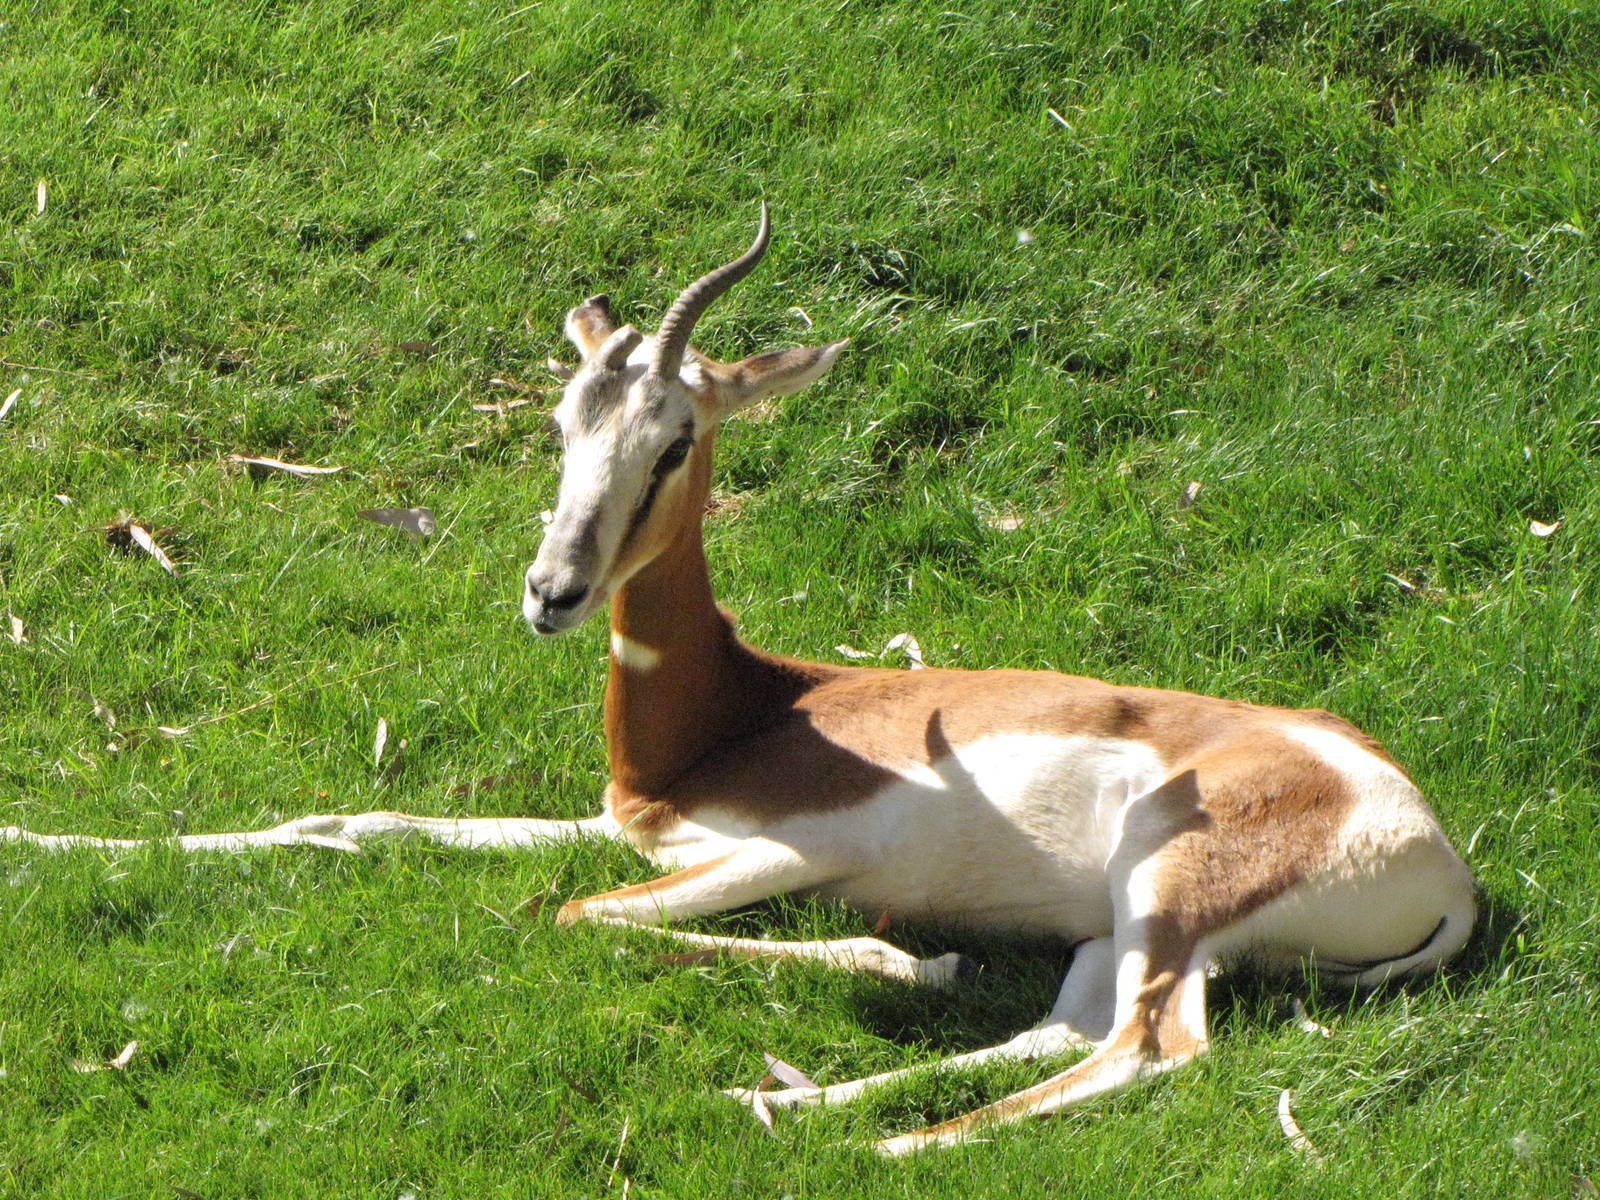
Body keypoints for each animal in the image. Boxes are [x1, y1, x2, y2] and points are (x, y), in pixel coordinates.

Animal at [3, 206, 1476, 1155]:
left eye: (674, 439)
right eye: (565, 420)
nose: (553, 592)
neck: (736, 708)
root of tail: (1440, 850)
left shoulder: (779, 852)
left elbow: (572, 916)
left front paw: (914, 958)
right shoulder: (624, 820)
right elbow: (356, 823)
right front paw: (40, 840)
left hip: (1170, 891)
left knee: (1153, 1053)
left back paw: (884, 1145)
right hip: (1117, 926)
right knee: (1073, 1037)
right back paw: (782, 1104)